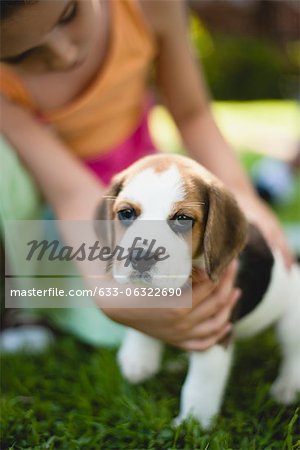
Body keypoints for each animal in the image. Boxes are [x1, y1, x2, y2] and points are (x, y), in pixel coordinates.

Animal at [96, 153, 300, 428]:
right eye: (126, 213)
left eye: (183, 219)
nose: (140, 257)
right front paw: (138, 358)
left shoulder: (215, 335)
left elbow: (199, 384)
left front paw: (193, 424)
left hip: (292, 320)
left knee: (293, 354)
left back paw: (287, 388)